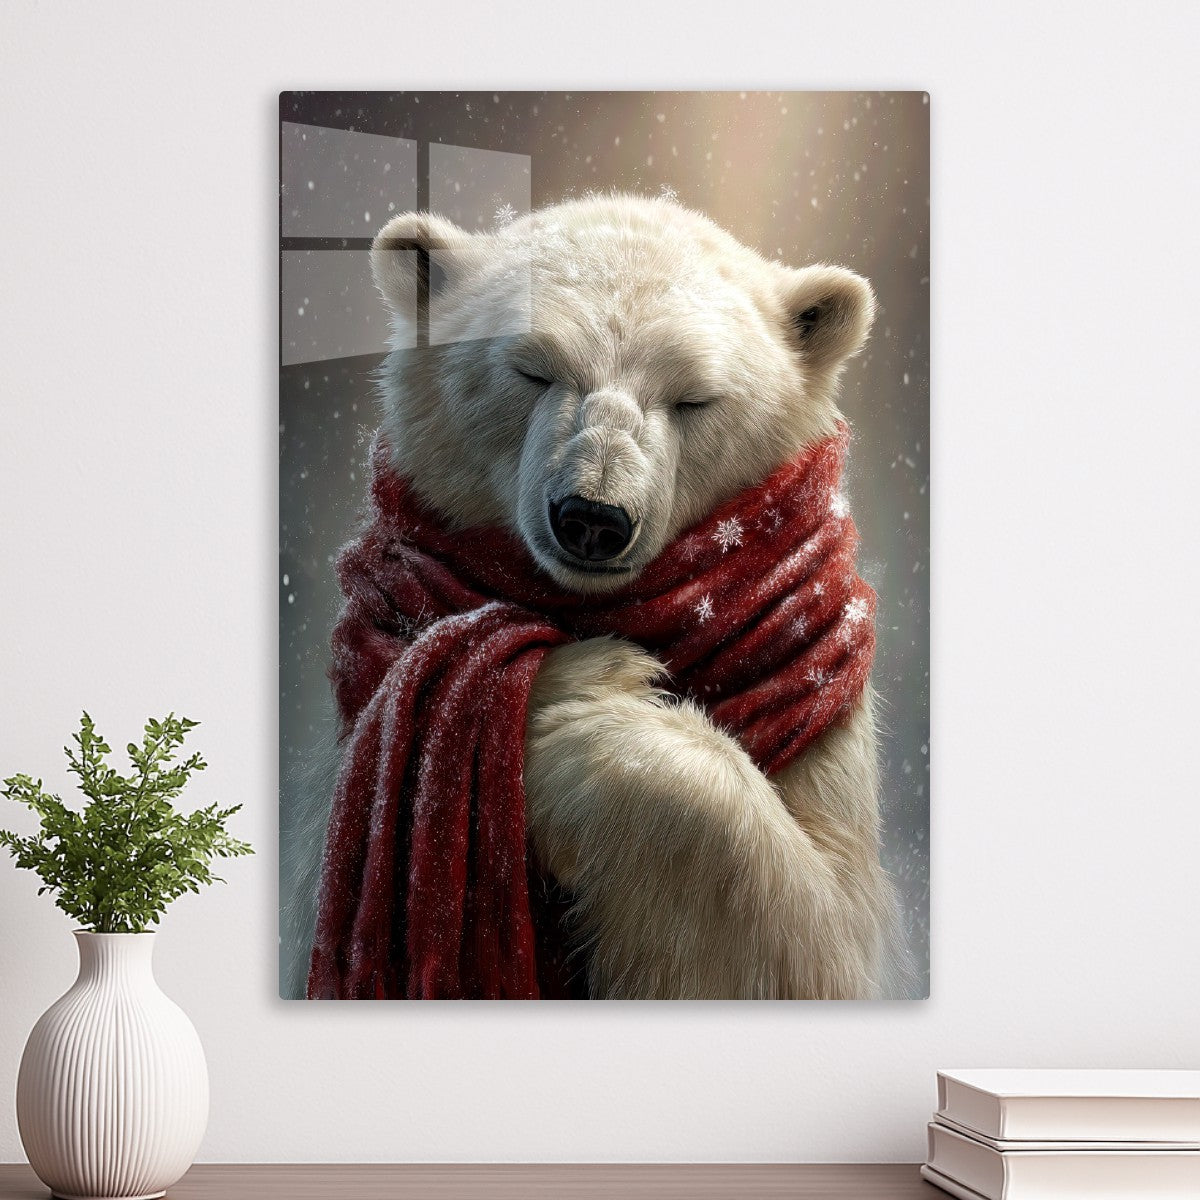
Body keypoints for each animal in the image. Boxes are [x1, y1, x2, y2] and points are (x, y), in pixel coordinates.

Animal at [281, 193, 907, 999]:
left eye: (694, 399)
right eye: (532, 371)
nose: (592, 518)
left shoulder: (829, 730)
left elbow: (818, 942)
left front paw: (578, 706)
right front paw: (583, 677)